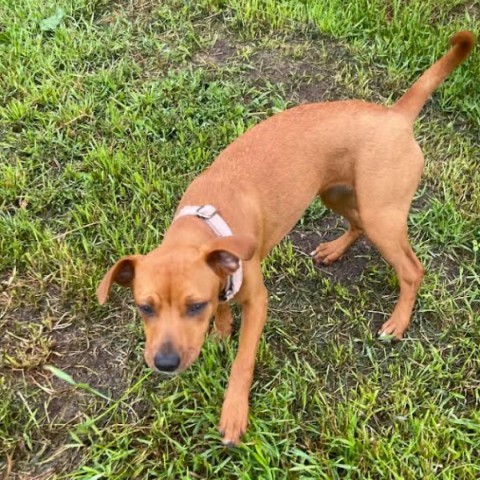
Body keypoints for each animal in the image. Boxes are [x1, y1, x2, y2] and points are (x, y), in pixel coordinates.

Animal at [96, 32, 472, 446]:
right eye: (144, 308)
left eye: (194, 306)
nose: (164, 364)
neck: (206, 223)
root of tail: (395, 115)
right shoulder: (222, 278)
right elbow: (224, 311)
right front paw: (221, 332)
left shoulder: (257, 302)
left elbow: (243, 362)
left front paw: (234, 413)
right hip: (337, 194)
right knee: (356, 225)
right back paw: (334, 250)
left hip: (382, 215)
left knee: (412, 269)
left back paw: (398, 323)